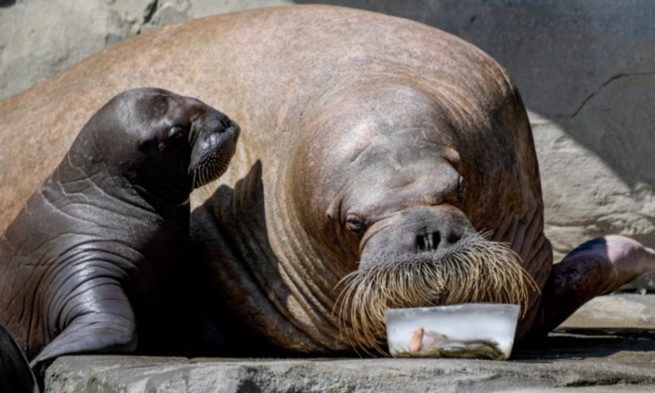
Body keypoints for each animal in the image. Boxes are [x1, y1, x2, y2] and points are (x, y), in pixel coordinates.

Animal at [0, 88, 240, 376]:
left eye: (193, 99)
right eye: (177, 135)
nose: (223, 122)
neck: (108, 199)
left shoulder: (176, 275)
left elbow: (209, 328)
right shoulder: (83, 264)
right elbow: (119, 326)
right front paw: (38, 359)